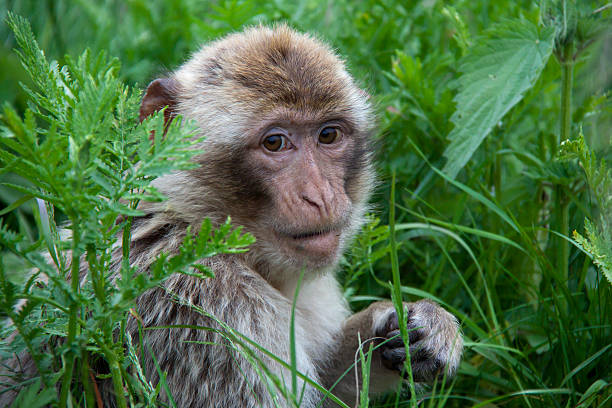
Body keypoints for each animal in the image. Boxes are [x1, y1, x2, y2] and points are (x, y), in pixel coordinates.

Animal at [0, 24, 462, 404]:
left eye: (329, 135)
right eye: (275, 142)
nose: (320, 197)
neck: (191, 222)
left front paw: (415, 325)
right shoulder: (214, 317)